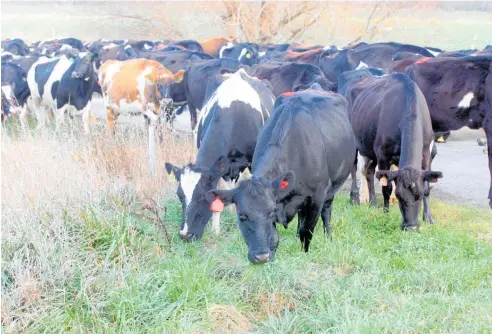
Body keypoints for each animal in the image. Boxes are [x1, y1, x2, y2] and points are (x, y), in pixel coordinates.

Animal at [208, 87, 358, 264]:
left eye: (270, 212)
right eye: (242, 216)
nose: (260, 257)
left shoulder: (317, 196)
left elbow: (306, 231)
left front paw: (304, 254)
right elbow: (275, 237)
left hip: (332, 187)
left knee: (326, 213)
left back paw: (328, 238)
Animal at [342, 71, 442, 230]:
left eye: (419, 196)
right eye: (399, 196)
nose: (410, 227)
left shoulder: (426, 152)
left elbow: (427, 185)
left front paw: (428, 217)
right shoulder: (383, 154)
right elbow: (387, 187)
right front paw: (386, 213)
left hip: (371, 149)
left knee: (370, 172)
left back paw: (373, 202)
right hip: (355, 143)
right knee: (354, 168)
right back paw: (354, 198)